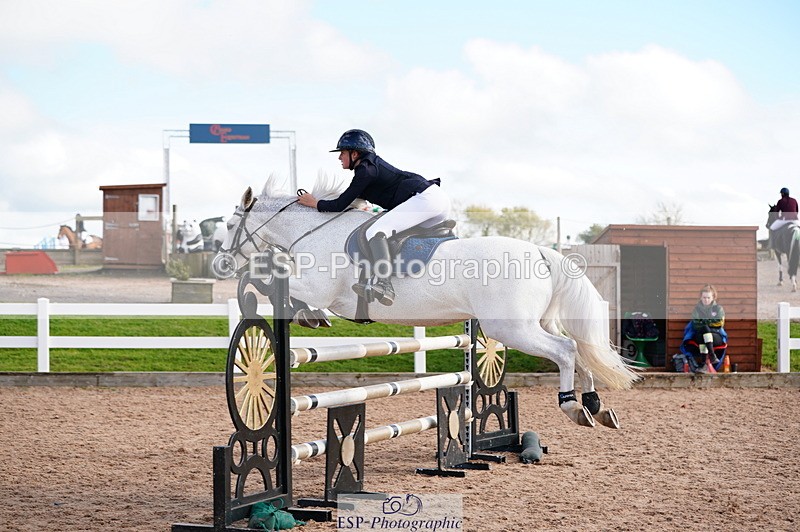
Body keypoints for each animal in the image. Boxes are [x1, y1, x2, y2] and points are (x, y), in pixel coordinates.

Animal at [213, 175, 640, 429]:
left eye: (231, 225)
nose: (220, 263)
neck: (312, 232)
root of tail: (539, 251)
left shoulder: (320, 288)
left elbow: (269, 283)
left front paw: (287, 307)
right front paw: (310, 318)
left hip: (511, 328)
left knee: (565, 350)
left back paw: (572, 406)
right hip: (537, 322)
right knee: (579, 349)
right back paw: (594, 405)